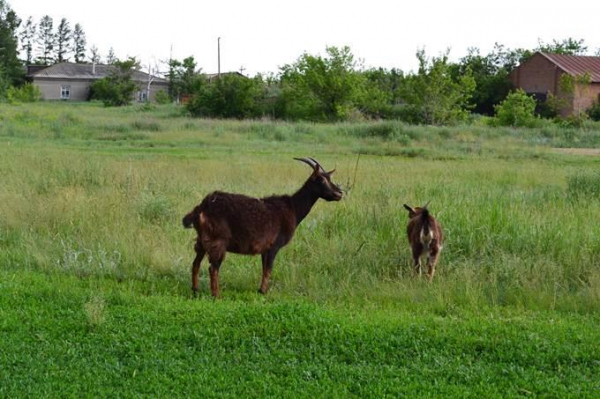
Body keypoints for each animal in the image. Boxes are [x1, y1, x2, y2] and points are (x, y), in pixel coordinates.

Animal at [182, 158, 342, 298]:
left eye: (329, 178)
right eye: (321, 180)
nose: (339, 193)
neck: (293, 208)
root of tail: (202, 207)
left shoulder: (264, 249)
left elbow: (264, 268)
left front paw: (260, 290)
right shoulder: (274, 246)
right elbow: (269, 270)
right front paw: (263, 292)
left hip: (202, 240)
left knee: (195, 264)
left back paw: (195, 290)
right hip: (218, 240)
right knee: (213, 267)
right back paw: (216, 295)